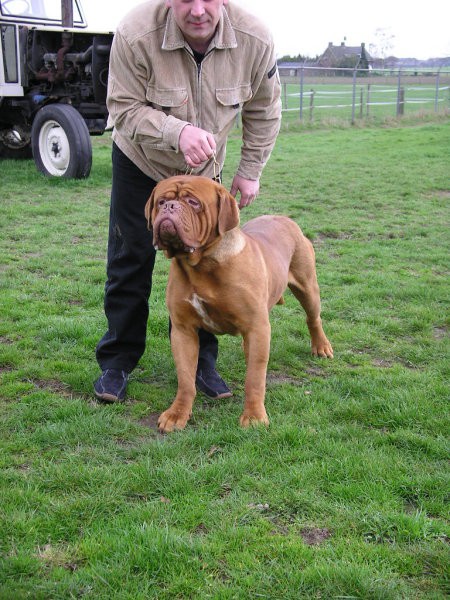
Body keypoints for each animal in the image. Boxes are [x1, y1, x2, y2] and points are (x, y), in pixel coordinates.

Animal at [146, 176, 332, 434]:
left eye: (193, 202)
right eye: (161, 201)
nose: (169, 207)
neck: (201, 266)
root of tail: (285, 218)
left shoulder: (256, 326)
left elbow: (254, 378)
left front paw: (253, 417)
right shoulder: (183, 331)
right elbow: (185, 379)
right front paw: (177, 414)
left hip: (307, 287)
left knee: (313, 318)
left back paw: (321, 347)